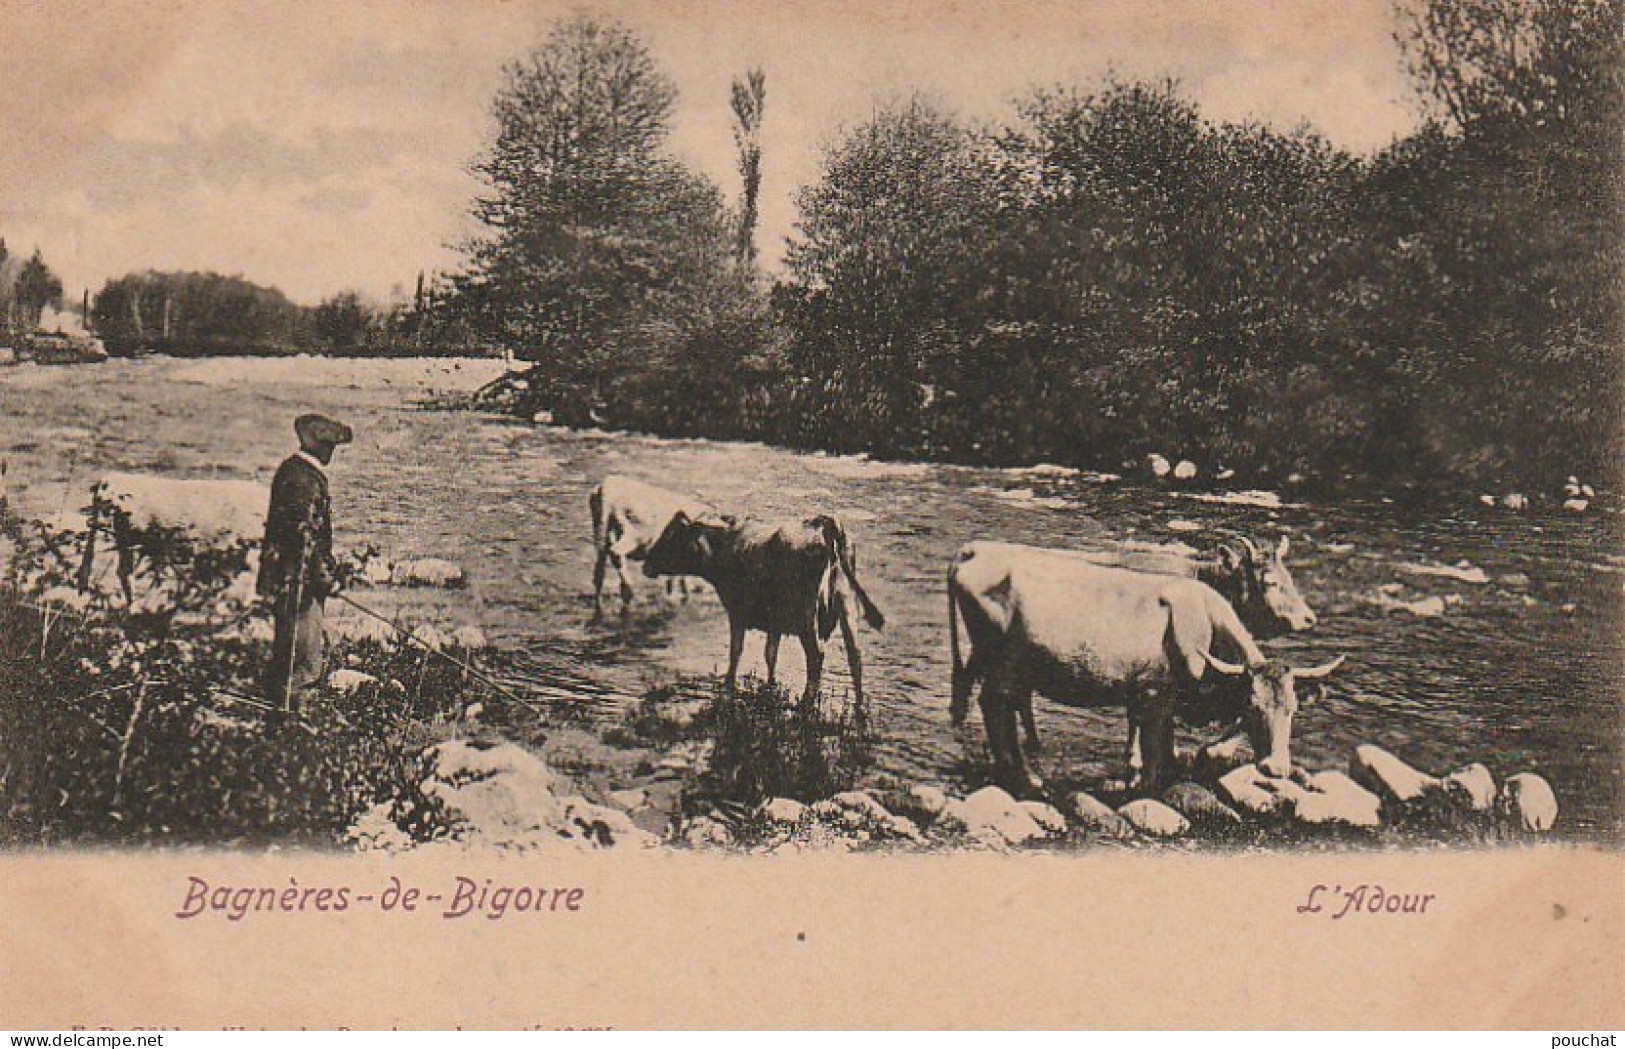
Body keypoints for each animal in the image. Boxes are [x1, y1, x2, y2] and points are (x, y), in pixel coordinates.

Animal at [640, 516, 884, 707]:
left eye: (671, 537)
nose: (646, 565)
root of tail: (824, 523)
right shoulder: (774, 622)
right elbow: (770, 654)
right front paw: (770, 685)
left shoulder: (736, 612)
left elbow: (736, 651)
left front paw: (728, 683)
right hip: (847, 606)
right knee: (855, 656)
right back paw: (858, 705)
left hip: (807, 617)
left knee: (816, 657)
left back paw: (806, 703)